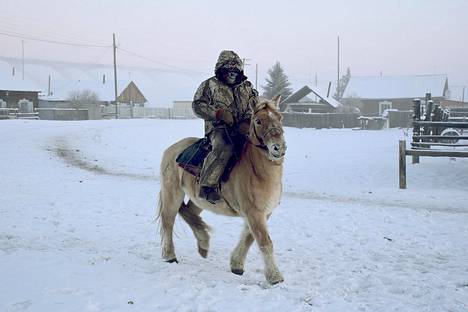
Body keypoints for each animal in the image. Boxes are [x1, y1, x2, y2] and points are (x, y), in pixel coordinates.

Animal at [159, 95, 288, 286]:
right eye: (258, 120)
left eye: (279, 117)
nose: (278, 148)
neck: (256, 170)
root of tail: (171, 149)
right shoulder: (254, 213)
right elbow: (264, 241)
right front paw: (275, 277)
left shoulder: (262, 213)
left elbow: (248, 238)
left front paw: (237, 265)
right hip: (172, 193)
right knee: (168, 221)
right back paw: (170, 256)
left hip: (199, 199)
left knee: (189, 212)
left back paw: (203, 244)